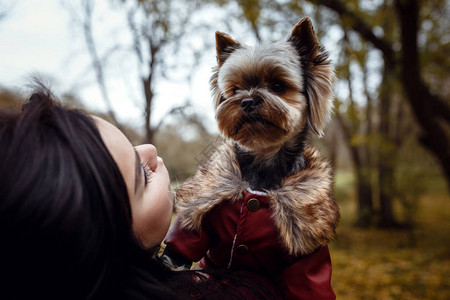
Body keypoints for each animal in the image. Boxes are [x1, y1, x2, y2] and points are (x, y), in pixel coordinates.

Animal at [163, 17, 340, 298]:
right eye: (235, 89)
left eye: (278, 86)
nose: (246, 101)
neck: (262, 161)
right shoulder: (196, 218)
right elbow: (178, 252)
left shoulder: (306, 249)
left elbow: (308, 282)